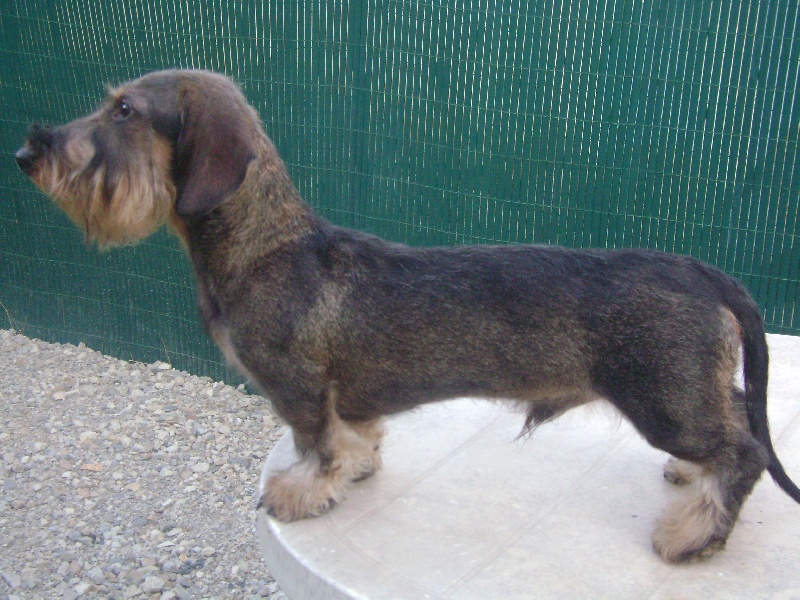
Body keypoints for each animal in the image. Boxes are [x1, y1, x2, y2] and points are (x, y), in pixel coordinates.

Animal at [15, 69, 796, 564]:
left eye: (124, 111)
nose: (27, 151)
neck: (268, 245)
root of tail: (698, 269)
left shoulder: (296, 389)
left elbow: (314, 447)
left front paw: (301, 493)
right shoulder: (341, 397)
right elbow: (353, 436)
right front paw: (358, 465)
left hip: (663, 400)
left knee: (746, 453)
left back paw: (694, 537)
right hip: (689, 393)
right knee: (732, 423)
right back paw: (691, 485)